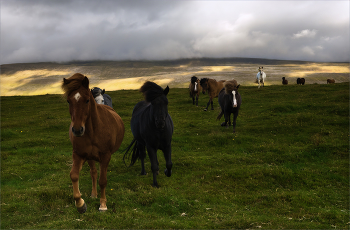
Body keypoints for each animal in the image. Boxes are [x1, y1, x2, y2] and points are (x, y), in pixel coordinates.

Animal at [61, 73, 124, 214]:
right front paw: (80, 204)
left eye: (87, 100)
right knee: (93, 173)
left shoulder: (105, 156)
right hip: (90, 157)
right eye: (68, 101)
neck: (93, 131)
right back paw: (94, 194)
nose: (77, 130)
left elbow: (103, 181)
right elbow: (74, 175)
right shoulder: (79, 155)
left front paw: (103, 204)